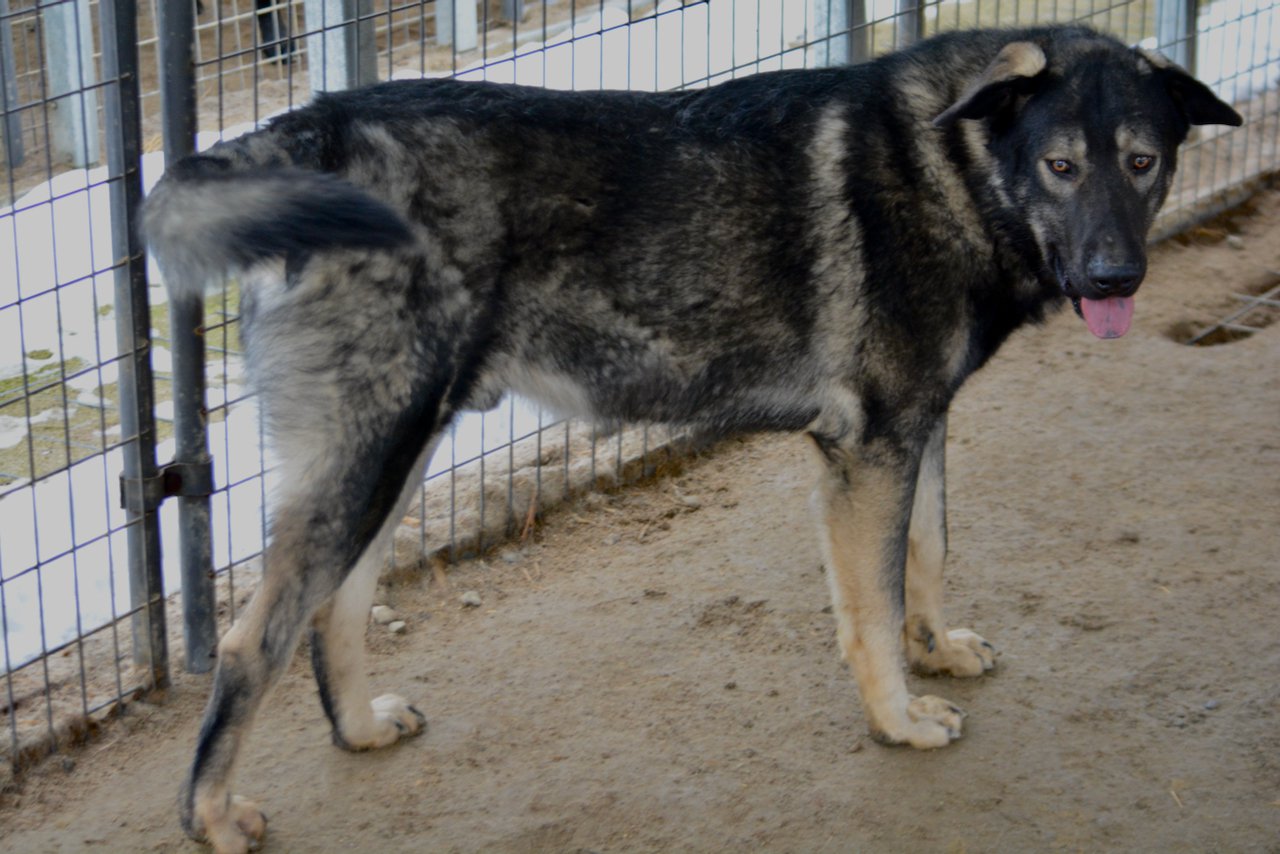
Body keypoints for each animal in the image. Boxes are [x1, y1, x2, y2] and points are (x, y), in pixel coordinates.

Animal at [140, 23, 1239, 850]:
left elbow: (925, 556)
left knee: (335, 608)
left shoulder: (917, 432)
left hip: (395, 453)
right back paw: (210, 815)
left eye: (1142, 163)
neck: (953, 166)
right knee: (250, 637)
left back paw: (361, 730)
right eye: (1059, 167)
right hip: (367, 457)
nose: (1115, 276)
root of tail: (311, 127)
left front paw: (935, 651)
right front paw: (897, 718)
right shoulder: (867, 452)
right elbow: (873, 606)